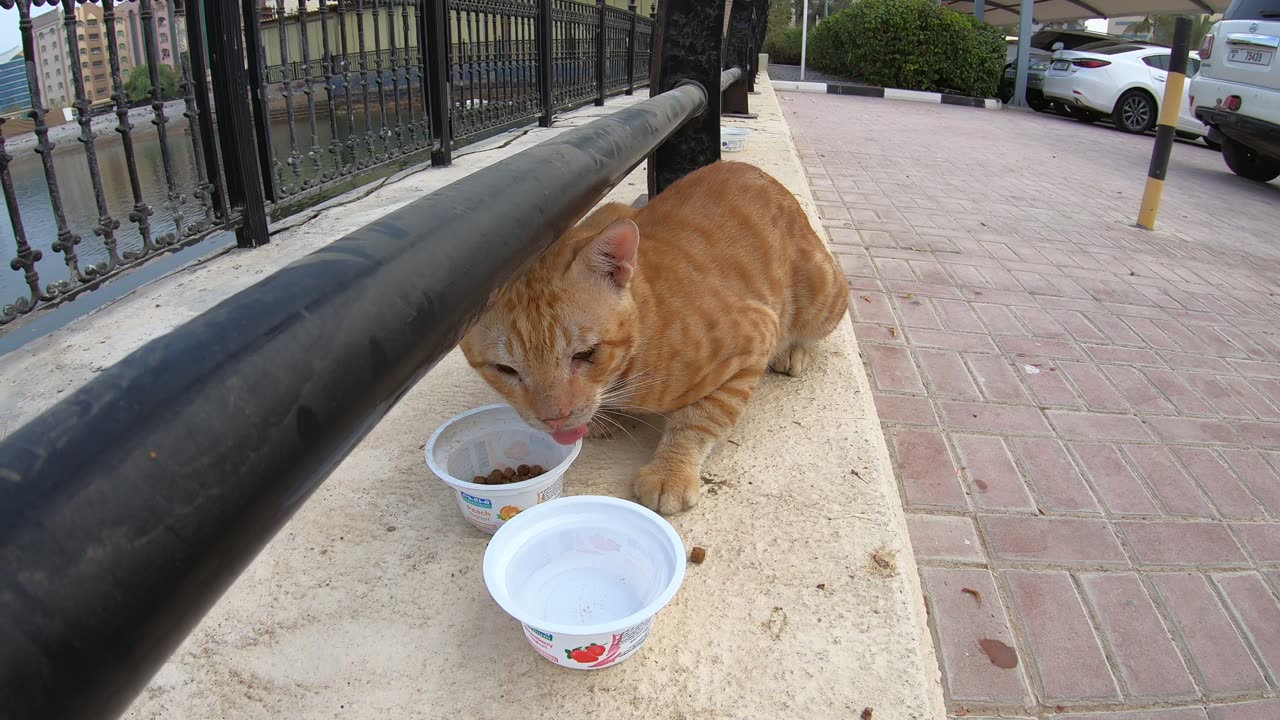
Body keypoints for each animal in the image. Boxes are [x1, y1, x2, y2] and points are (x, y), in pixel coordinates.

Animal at [460, 161, 849, 509]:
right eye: (505, 370)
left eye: (586, 354)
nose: (553, 419)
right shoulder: (613, 211)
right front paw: (604, 418)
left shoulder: (756, 335)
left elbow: (702, 416)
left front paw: (670, 470)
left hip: (822, 297)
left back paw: (794, 351)